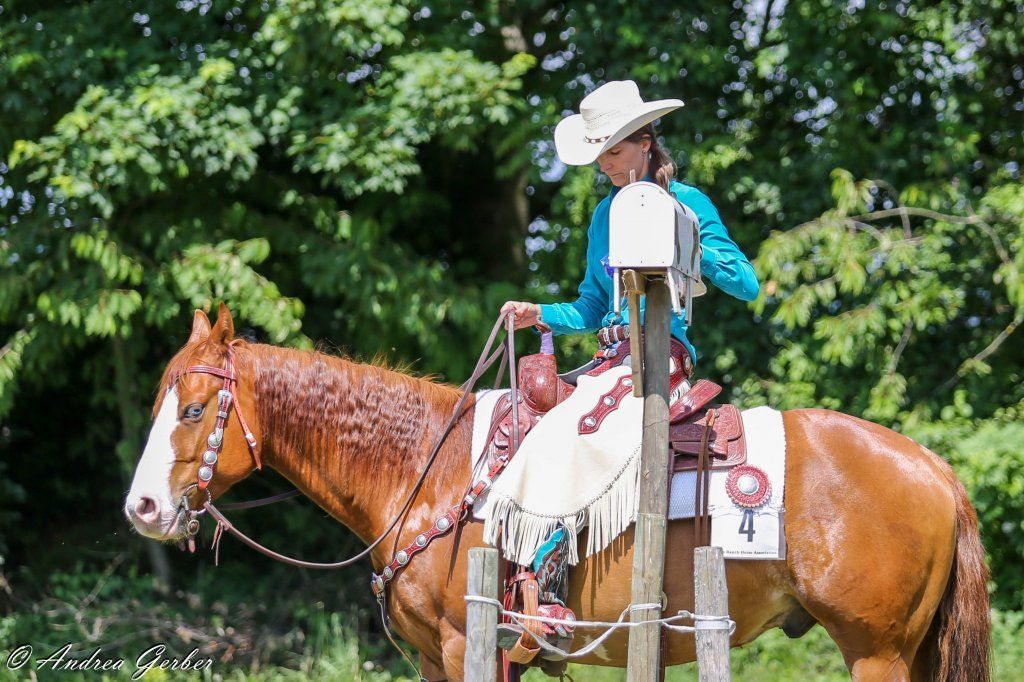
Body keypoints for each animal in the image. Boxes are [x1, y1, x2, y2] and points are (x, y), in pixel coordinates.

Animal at [124, 304, 990, 681]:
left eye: (194, 410)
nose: (142, 509)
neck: (426, 470)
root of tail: (934, 468)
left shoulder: (464, 643)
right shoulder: (440, 659)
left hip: (876, 651)